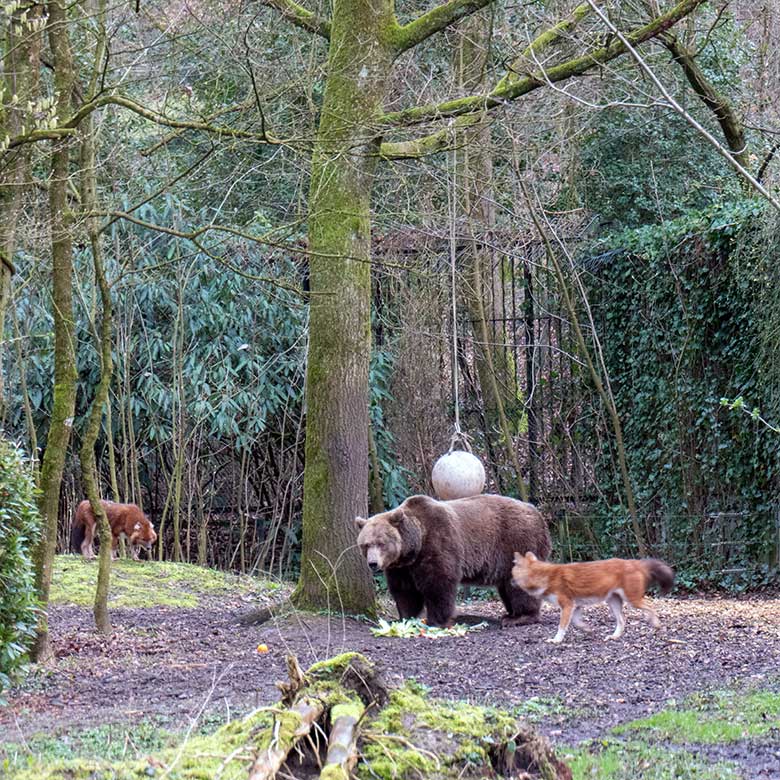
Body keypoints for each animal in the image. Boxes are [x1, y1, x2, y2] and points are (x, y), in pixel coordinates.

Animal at [356, 494, 552, 628]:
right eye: (365, 544)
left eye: (381, 543)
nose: (373, 563)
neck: (414, 546)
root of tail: (537, 514)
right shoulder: (401, 567)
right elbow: (404, 591)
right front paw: (405, 617)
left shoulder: (438, 542)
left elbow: (439, 583)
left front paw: (437, 620)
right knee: (506, 585)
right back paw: (510, 614)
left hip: (518, 542)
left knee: (520, 584)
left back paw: (520, 617)